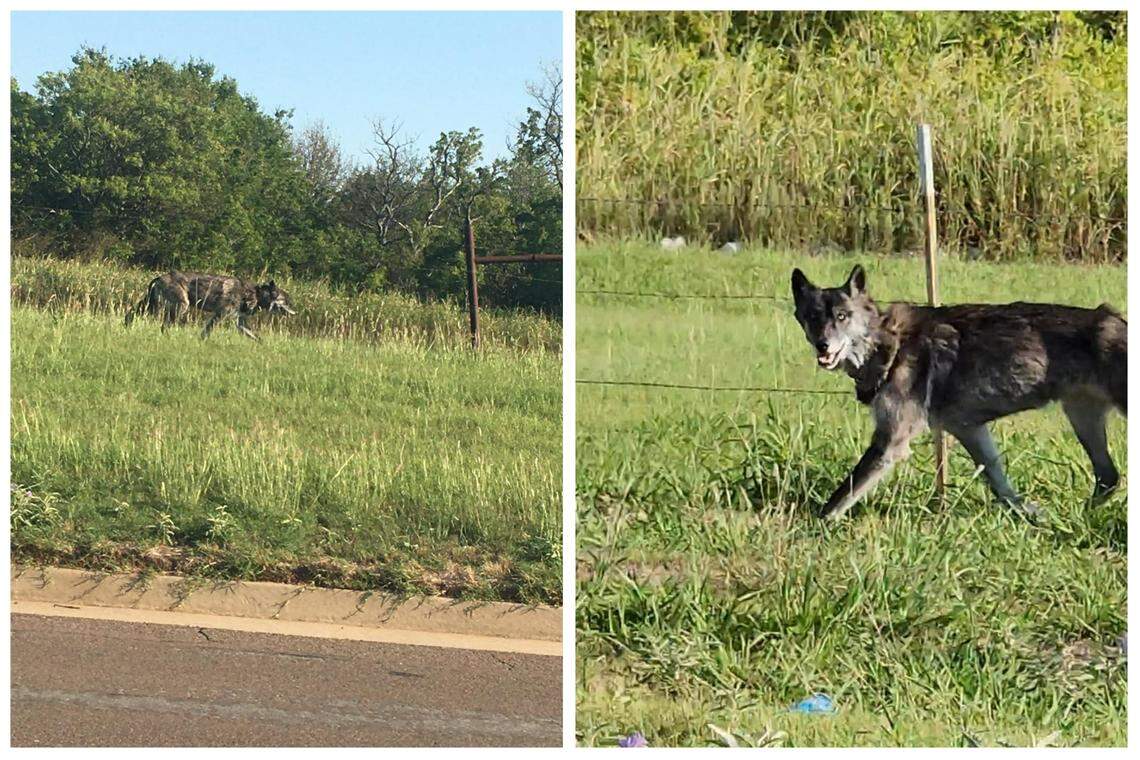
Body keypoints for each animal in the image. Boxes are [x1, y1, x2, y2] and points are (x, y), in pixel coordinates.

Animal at [125, 271, 295, 340]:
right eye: (287, 300)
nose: (296, 310)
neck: (255, 295)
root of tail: (158, 278)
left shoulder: (240, 323)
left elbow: (257, 338)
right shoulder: (219, 315)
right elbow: (206, 333)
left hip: (152, 307)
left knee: (131, 315)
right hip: (178, 307)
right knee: (164, 326)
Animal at [791, 264, 1126, 520]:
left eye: (842, 316)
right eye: (813, 317)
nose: (822, 345)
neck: (889, 344)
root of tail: (1117, 320)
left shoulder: (890, 443)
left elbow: (840, 497)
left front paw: (816, 528)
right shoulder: (970, 430)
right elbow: (1001, 486)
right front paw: (1032, 516)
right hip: (1082, 418)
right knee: (1109, 476)